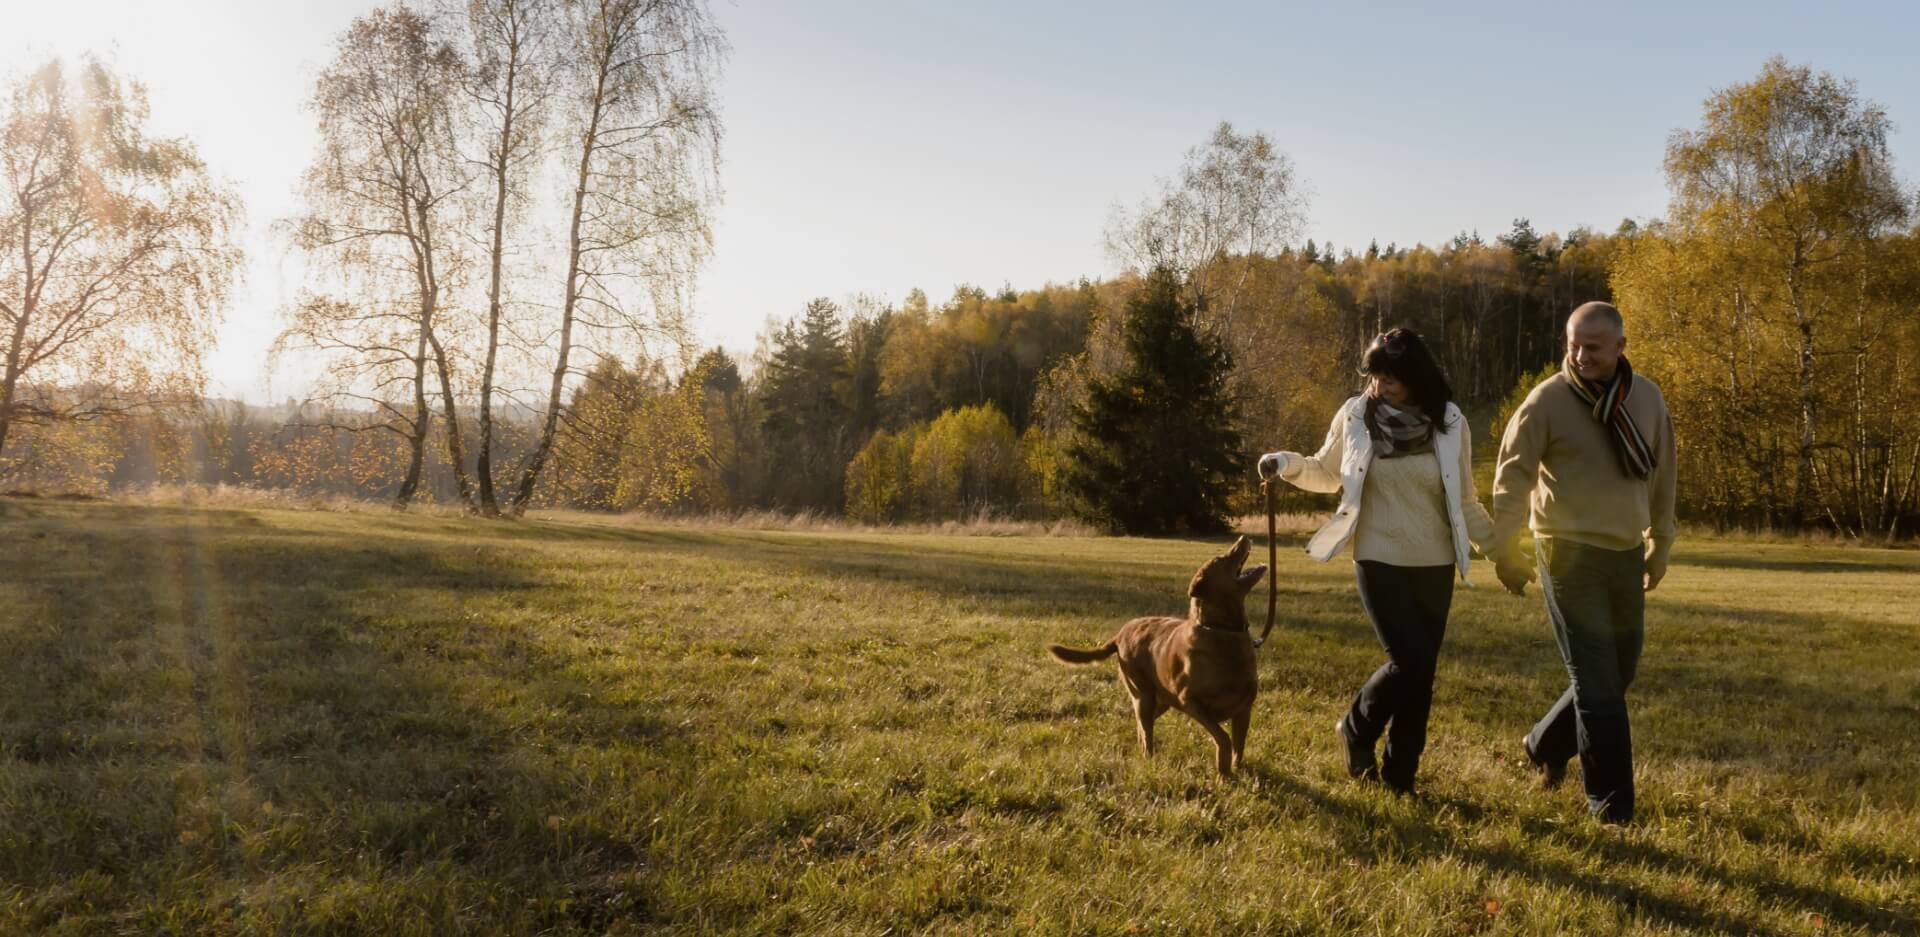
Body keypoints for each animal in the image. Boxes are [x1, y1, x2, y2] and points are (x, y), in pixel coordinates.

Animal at [1044, 533, 1267, 775]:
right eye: (1221, 559)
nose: (1243, 537)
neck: (1221, 630)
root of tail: (1120, 634)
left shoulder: (1244, 709)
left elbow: (1239, 745)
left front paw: (1236, 771)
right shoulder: (1190, 702)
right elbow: (1223, 737)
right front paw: (1223, 770)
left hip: (1160, 699)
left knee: (1142, 726)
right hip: (1144, 694)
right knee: (1146, 730)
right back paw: (1148, 760)